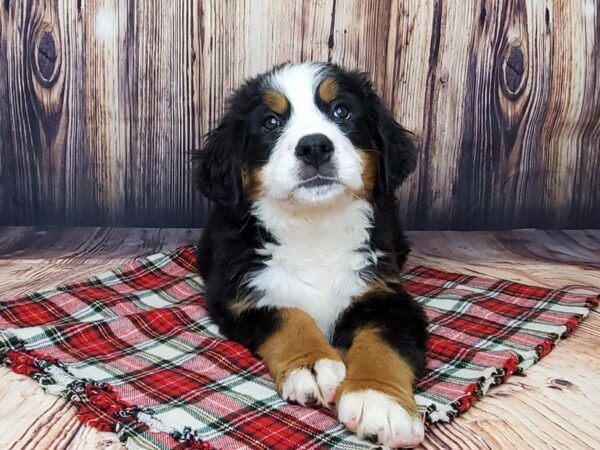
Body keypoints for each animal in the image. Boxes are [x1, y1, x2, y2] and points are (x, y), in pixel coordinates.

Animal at [196, 61, 426, 448]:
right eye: (270, 122)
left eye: (342, 111)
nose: (315, 146)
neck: (314, 227)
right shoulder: (240, 294)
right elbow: (289, 315)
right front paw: (314, 365)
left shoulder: (385, 293)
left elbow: (382, 342)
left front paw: (378, 400)